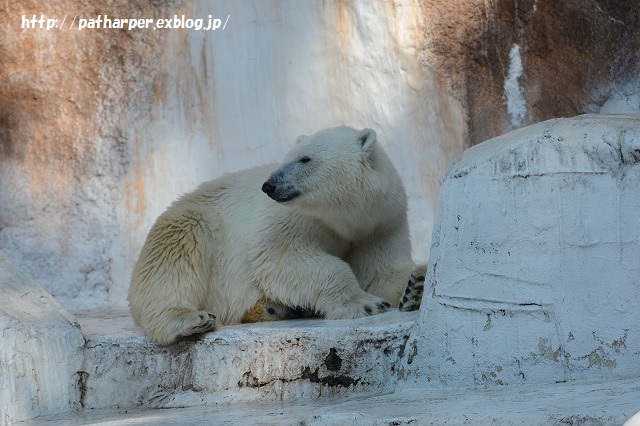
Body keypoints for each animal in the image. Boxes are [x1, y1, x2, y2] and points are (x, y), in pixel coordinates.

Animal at [129, 127, 420, 346]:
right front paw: (366, 304)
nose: (269, 185)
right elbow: (279, 258)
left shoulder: (381, 223)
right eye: (286, 158)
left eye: (305, 159)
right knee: (174, 255)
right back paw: (189, 320)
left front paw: (414, 288)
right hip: (191, 223)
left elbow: (383, 271)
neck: (346, 218)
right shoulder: (292, 219)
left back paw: (278, 308)